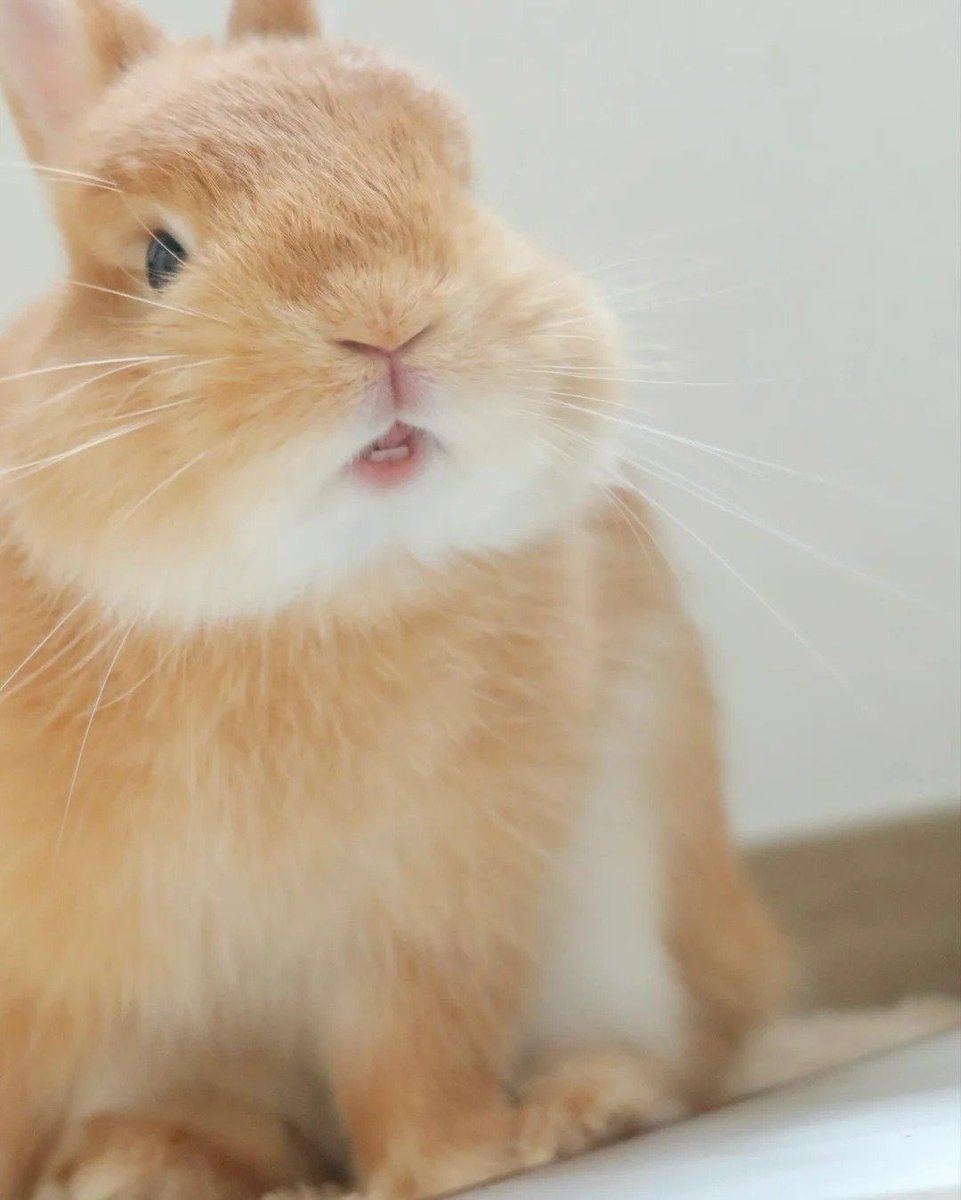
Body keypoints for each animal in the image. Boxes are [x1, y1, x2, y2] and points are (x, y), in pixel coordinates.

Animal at [0, 1, 785, 1197]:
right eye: (160, 257)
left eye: (458, 188)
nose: (387, 324)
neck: (298, 600)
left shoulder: (434, 913)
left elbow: (414, 1052)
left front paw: (455, 1163)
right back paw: (139, 1162)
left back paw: (587, 1106)